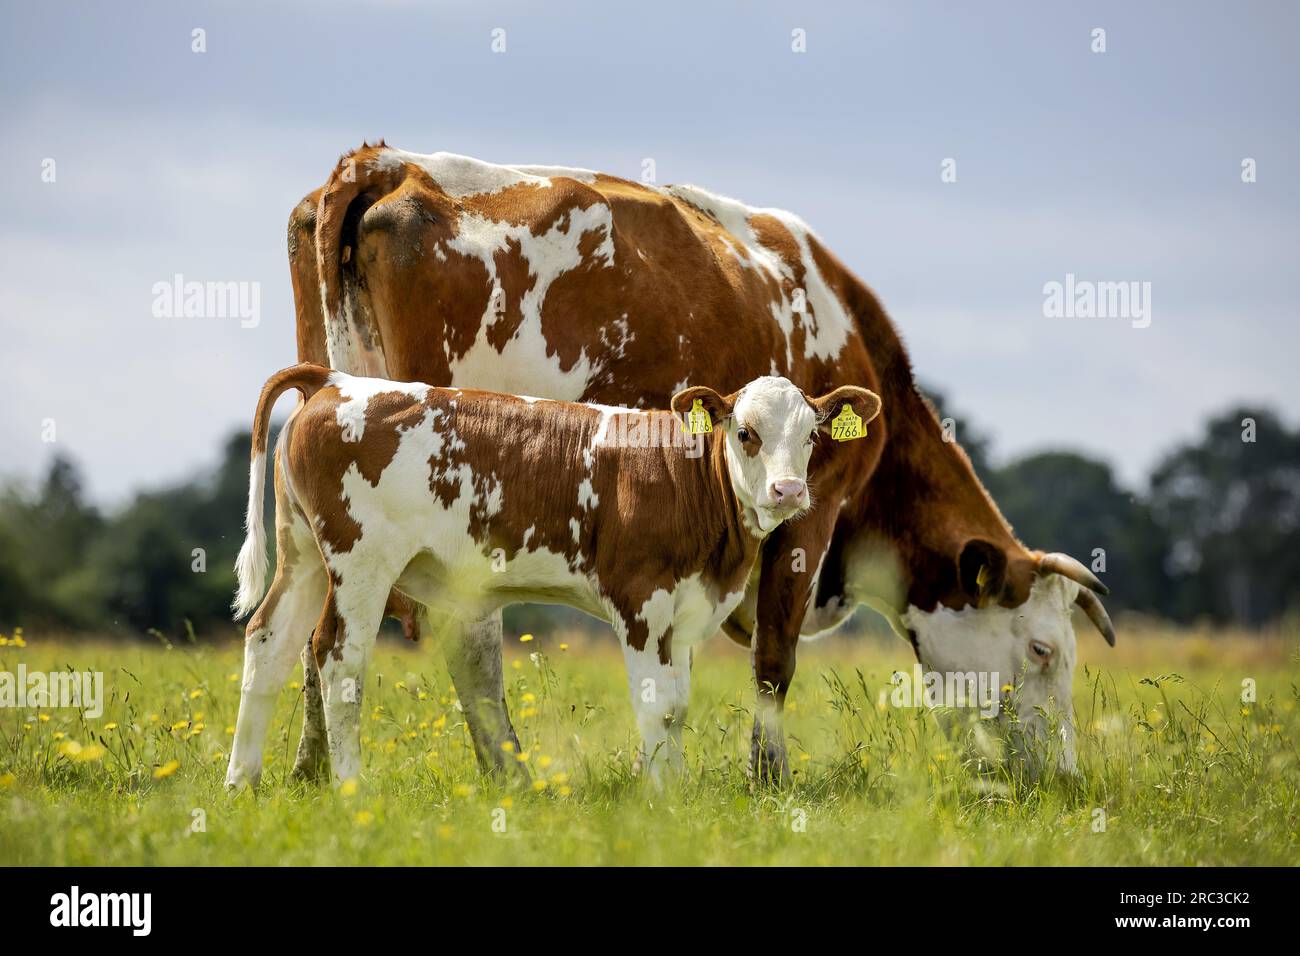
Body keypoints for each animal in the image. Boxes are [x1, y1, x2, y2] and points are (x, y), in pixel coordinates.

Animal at [226, 361, 883, 790]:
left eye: (812, 435)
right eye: (745, 432)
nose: (789, 490)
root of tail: (336, 381)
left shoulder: (682, 610)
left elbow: (675, 705)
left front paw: (675, 790)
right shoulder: (640, 601)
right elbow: (655, 704)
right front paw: (661, 800)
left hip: (304, 557)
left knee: (269, 642)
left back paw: (242, 782)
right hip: (360, 564)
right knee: (337, 659)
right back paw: (350, 787)